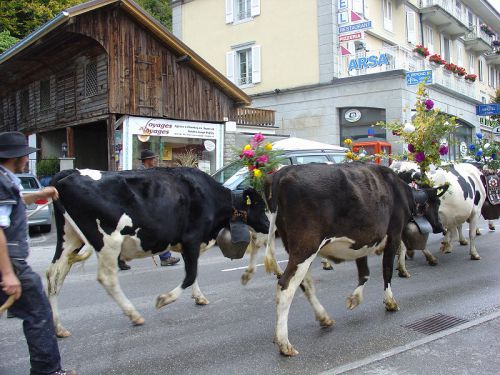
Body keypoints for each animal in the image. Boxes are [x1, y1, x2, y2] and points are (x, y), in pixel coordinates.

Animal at [262, 163, 446, 356]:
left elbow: (364, 273)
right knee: (286, 287)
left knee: (305, 284)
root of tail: (283, 172)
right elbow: (387, 271)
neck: (400, 190)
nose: (440, 227)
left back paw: (323, 318)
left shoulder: (362, 241)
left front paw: (354, 299)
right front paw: (390, 302)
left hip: (297, 249)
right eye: (436, 203)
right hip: (305, 247)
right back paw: (284, 343)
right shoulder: (394, 235)